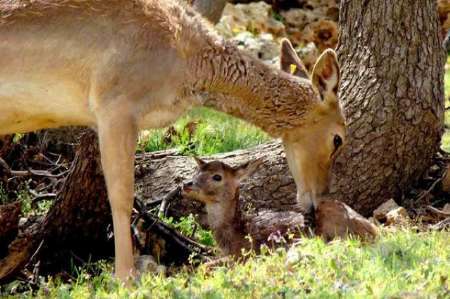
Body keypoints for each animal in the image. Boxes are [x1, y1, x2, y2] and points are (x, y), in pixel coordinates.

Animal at [0, 0, 344, 282]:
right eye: (338, 138)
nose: (317, 202)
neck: (186, 62)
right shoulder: (115, 103)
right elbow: (121, 196)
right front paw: (125, 278)